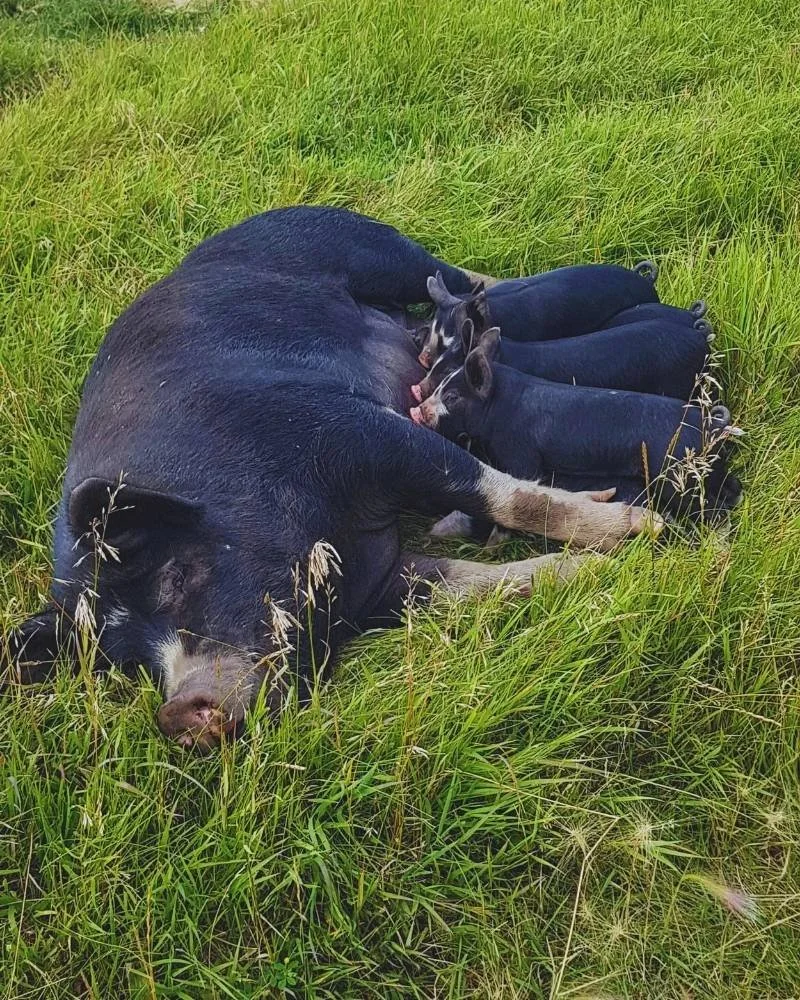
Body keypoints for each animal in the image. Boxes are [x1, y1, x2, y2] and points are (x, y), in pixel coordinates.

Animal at [4, 206, 655, 751]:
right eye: (128, 659)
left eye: (176, 576)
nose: (181, 713)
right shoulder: (378, 582)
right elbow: (465, 585)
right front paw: (589, 571)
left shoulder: (353, 429)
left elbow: (498, 493)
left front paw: (638, 532)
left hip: (371, 249)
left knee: (456, 276)